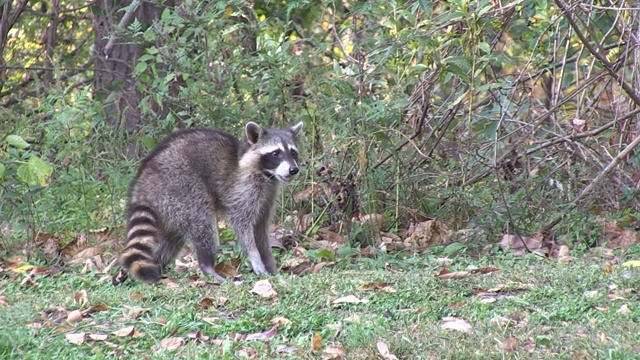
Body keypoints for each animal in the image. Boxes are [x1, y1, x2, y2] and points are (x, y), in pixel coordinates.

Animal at [120, 121, 304, 284]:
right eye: (276, 153)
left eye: (293, 152)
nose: (294, 170)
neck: (266, 173)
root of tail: (143, 181)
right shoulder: (243, 190)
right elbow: (242, 225)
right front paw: (255, 258)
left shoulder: (268, 195)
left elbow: (260, 231)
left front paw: (270, 266)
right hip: (180, 185)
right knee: (202, 225)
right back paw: (208, 267)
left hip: (167, 206)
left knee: (169, 241)